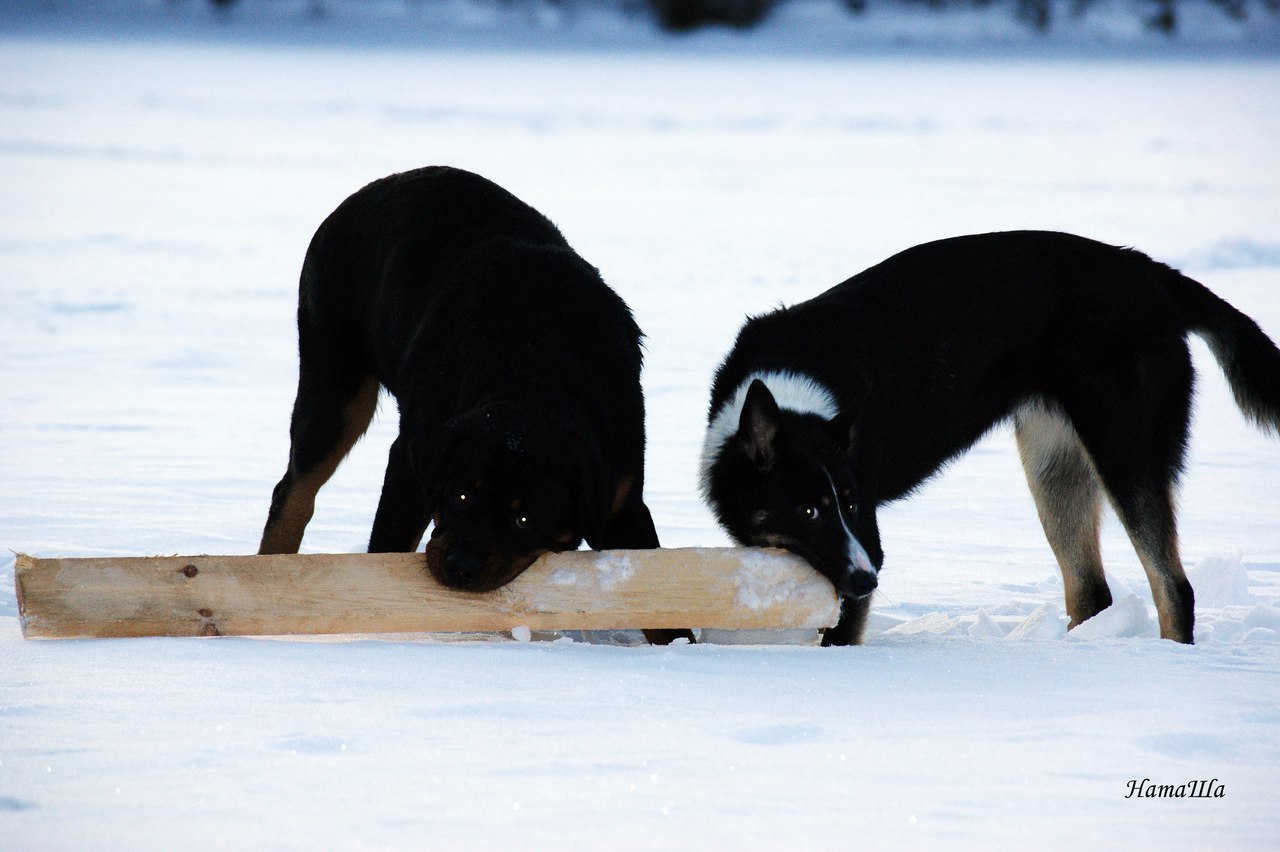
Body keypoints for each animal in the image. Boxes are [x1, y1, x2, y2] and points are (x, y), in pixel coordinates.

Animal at [701, 228, 1280, 639]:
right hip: (1053, 469)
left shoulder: (867, 536)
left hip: (1125, 452)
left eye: (849, 503)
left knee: (1173, 588)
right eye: (809, 511)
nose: (869, 580)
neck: (787, 392)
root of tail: (1149, 271)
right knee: (1091, 592)